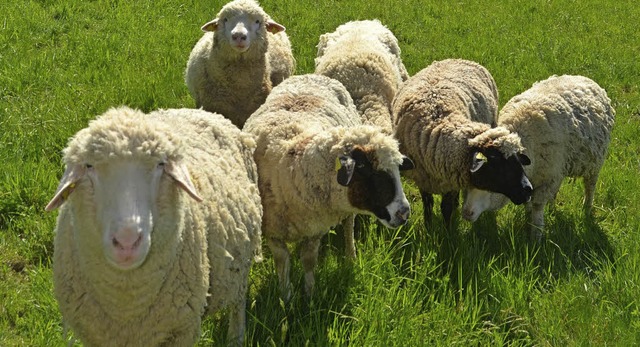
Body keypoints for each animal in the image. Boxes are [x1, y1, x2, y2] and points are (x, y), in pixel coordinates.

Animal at [44, 107, 262, 346]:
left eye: (160, 165)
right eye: (89, 166)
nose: (127, 243)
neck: (126, 303)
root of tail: (200, 111)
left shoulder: (180, 331)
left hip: (242, 261)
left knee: (238, 301)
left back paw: (236, 337)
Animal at [241, 74, 416, 302]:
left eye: (398, 170)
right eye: (369, 172)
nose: (404, 213)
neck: (295, 162)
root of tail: (312, 75)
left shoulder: (315, 228)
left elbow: (308, 260)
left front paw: (308, 295)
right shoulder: (273, 230)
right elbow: (282, 263)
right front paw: (286, 297)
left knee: (349, 226)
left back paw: (351, 256)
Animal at [392, 59, 532, 228]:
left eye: (518, 159)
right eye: (496, 161)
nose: (528, 190)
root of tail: (457, 59)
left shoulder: (450, 180)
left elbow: (446, 208)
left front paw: (448, 231)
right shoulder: (422, 178)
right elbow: (428, 204)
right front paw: (429, 226)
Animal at [462, 75, 616, 239]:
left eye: (495, 180)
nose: (467, 213)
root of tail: (584, 77)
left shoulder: (546, 180)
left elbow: (537, 207)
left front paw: (536, 235)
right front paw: (529, 217)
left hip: (594, 161)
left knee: (590, 185)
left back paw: (587, 207)